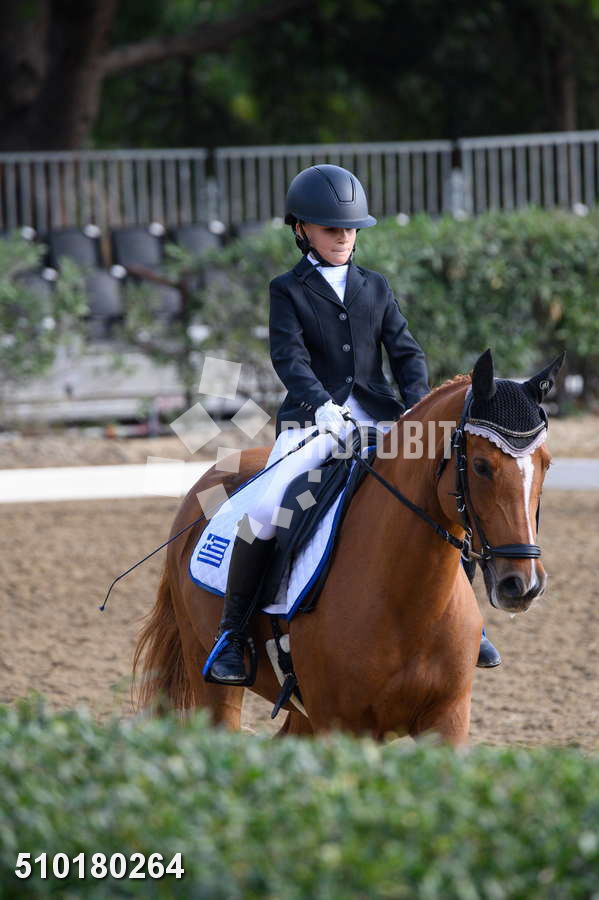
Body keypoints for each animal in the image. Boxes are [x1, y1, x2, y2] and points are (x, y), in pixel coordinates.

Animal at [132, 349, 563, 745]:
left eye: (546, 464)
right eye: (480, 466)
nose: (522, 585)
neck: (407, 600)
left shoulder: (448, 720)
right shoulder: (341, 727)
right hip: (211, 681)